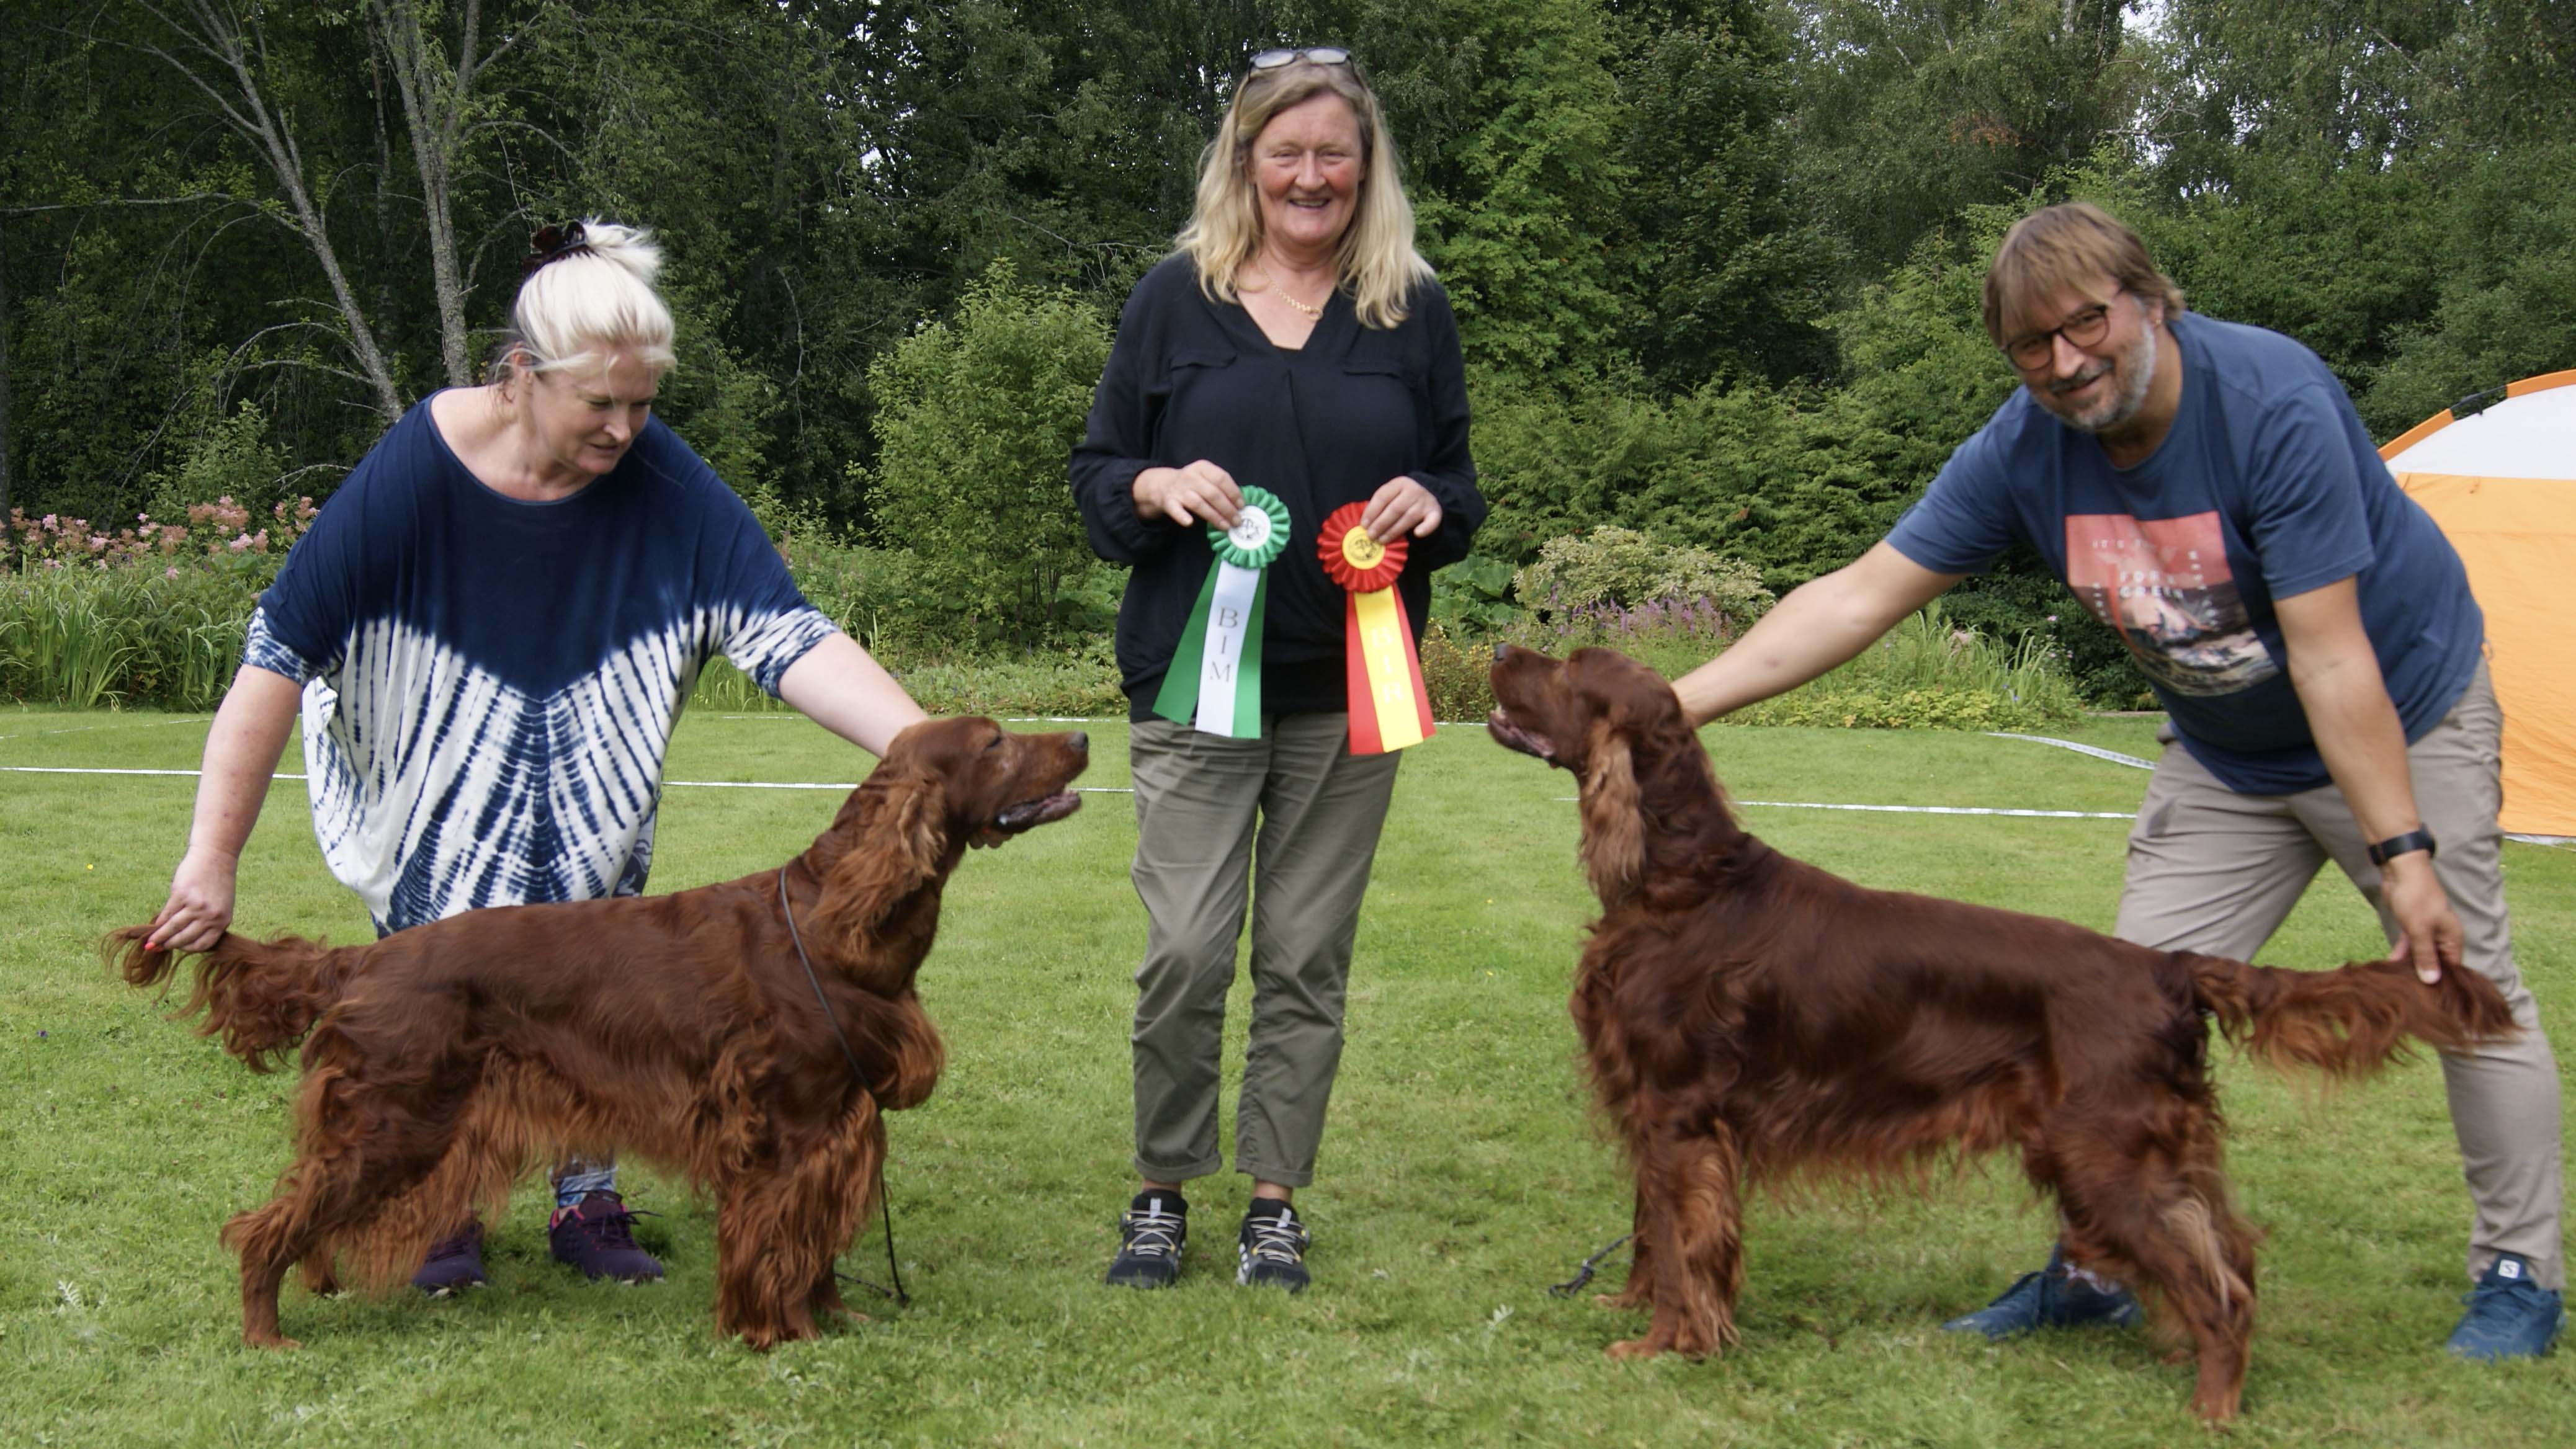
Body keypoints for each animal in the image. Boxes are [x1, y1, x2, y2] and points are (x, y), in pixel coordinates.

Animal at [109, 715, 1086, 1350]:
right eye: (995, 743)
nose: (1083, 738)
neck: (834, 923)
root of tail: (359, 961)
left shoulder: (839, 1128)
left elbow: (814, 1245)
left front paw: (839, 1318)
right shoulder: (788, 1132)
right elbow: (777, 1244)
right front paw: (780, 1334)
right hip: (397, 1120)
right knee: (263, 1225)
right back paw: (267, 1334)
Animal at [1485, 644, 2516, 1422]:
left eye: (1570, 666)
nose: (1500, 646)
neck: (1680, 882)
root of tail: (2168, 968)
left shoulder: (1679, 1115)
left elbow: (1681, 1248)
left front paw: (1661, 1345)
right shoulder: (1656, 1114)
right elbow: (1650, 1234)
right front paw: (1629, 1308)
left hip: (2105, 1155)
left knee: (2219, 1287)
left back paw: (2211, 1409)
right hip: (2144, 1150)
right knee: (2233, 1256)